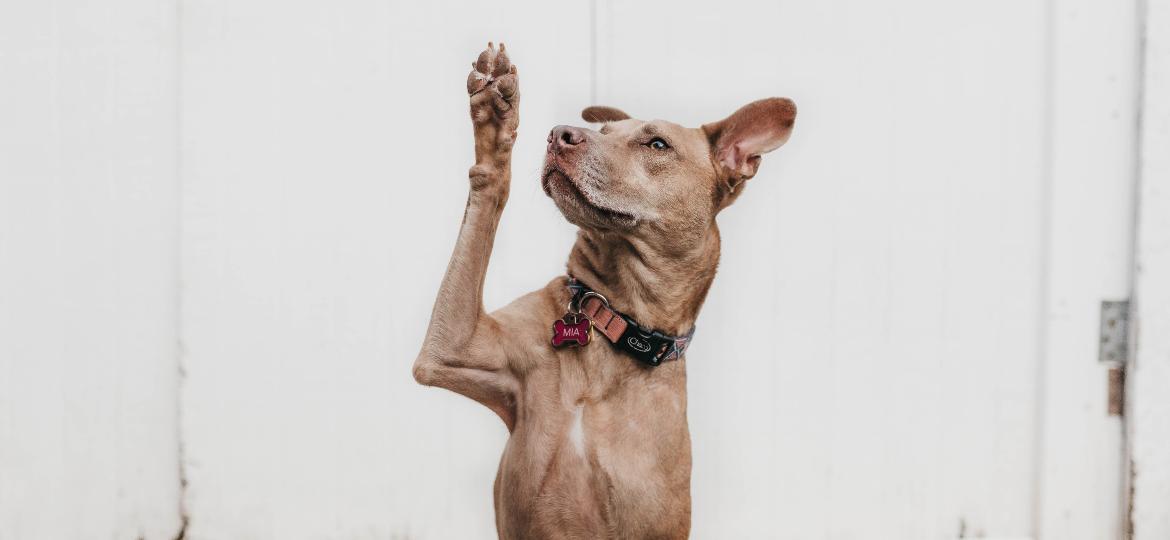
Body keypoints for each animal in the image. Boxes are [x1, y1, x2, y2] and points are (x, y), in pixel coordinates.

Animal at [414, 44, 795, 537]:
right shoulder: (452, 348)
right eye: (604, 131)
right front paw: (495, 120)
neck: (613, 320)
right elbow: (487, 192)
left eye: (657, 144)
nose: (559, 134)